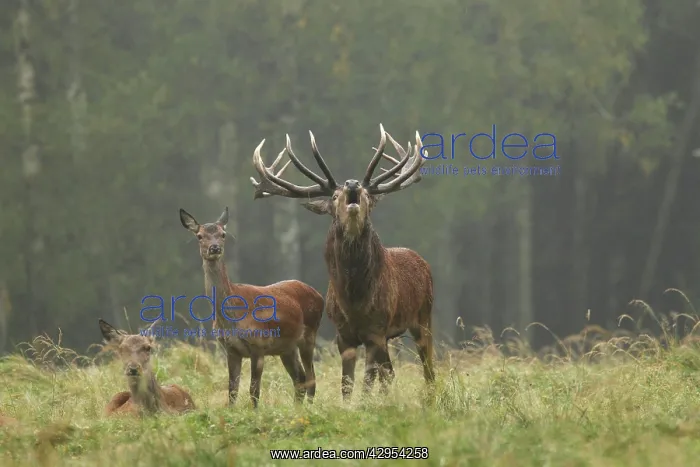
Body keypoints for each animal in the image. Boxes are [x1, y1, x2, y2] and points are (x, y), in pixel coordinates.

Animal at [179, 206, 325, 408]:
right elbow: (232, 391)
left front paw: (254, 412)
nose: (215, 248)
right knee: (300, 378)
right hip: (287, 347)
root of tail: (319, 295)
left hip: (309, 335)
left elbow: (254, 391)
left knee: (311, 378)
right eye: (199, 236)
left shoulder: (259, 344)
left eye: (223, 234)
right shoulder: (230, 349)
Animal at [249, 124, 434, 401]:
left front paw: (366, 404)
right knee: (389, 373)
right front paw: (349, 404)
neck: (355, 301)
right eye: (335, 196)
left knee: (428, 367)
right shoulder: (343, 334)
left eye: (367, 194)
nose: (353, 183)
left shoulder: (376, 330)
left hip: (424, 316)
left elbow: (368, 380)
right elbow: (347, 383)